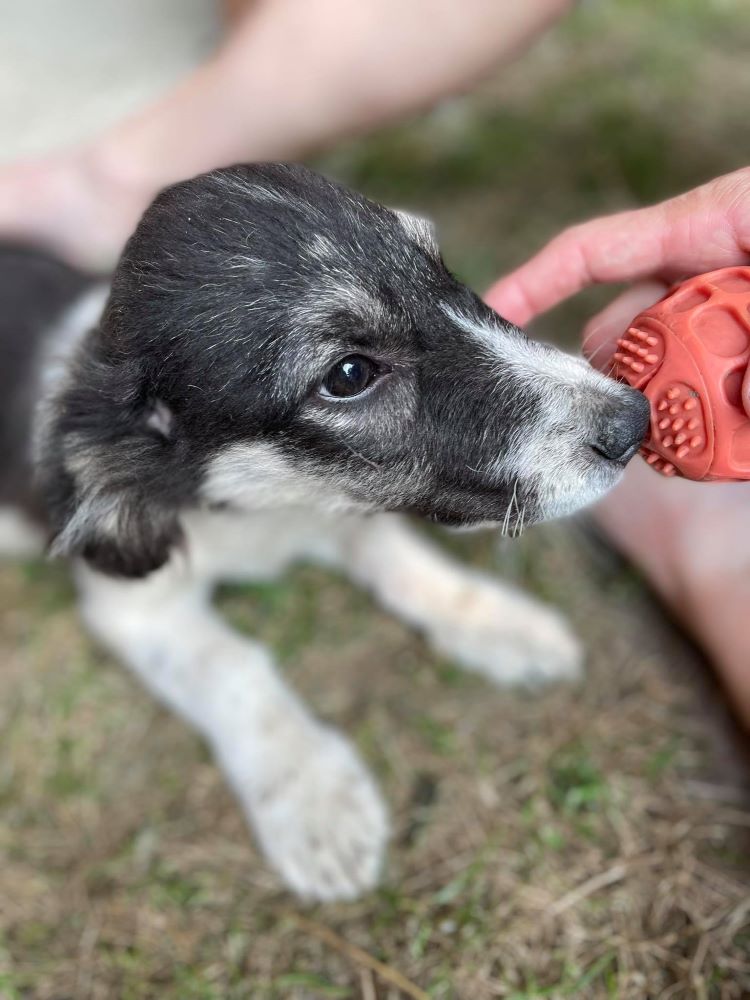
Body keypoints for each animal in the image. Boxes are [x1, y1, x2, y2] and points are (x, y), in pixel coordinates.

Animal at [0, 162, 648, 900]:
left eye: (442, 273)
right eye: (349, 373)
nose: (635, 422)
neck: (273, 505)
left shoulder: (345, 503)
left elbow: (400, 557)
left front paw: (498, 623)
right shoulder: (136, 606)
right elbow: (233, 669)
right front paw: (315, 797)